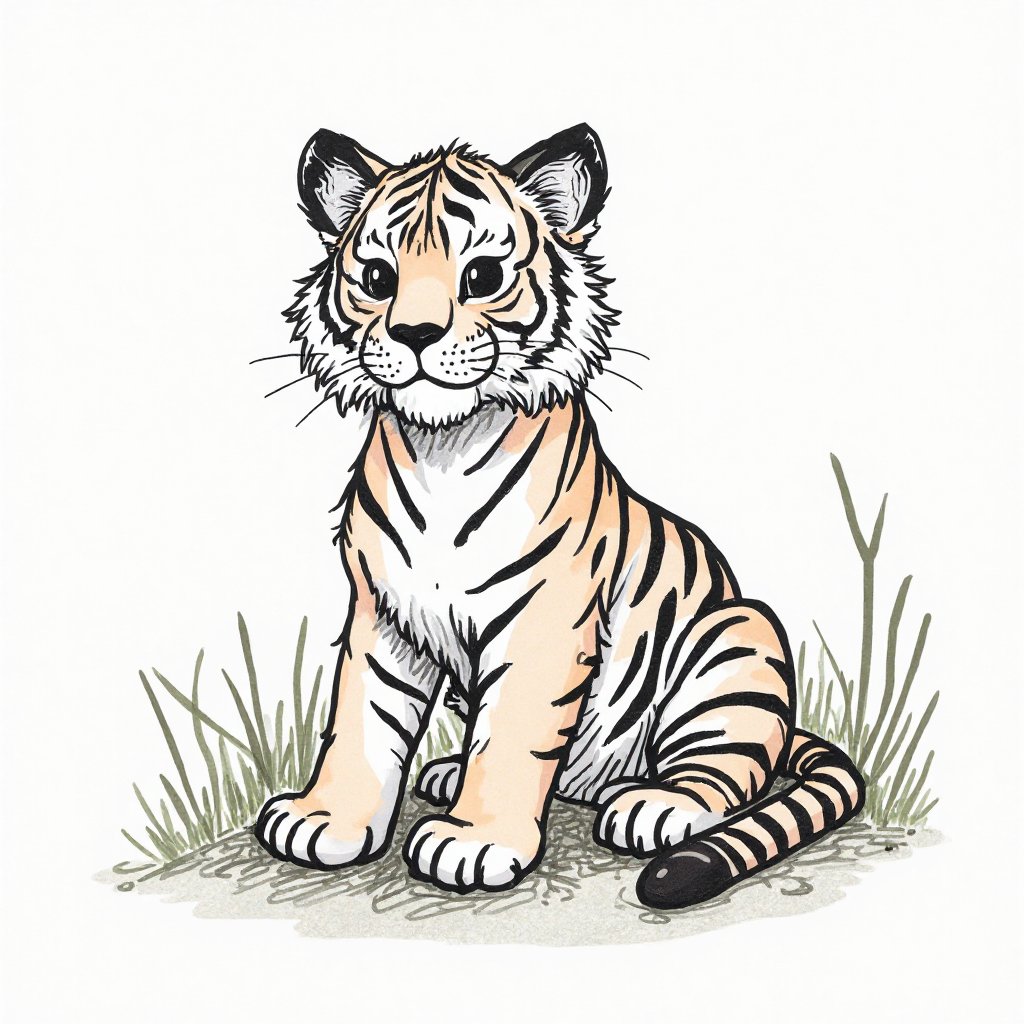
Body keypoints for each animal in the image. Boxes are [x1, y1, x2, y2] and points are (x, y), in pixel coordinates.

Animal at [254, 124, 866, 909]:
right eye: (379, 279)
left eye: (483, 276)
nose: (415, 333)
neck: (442, 444)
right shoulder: (384, 610)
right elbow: (362, 719)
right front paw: (326, 820)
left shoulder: (544, 613)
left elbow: (512, 731)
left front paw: (474, 842)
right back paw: (448, 773)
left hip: (735, 637)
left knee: (726, 773)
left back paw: (654, 805)